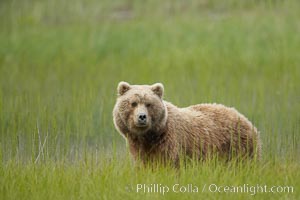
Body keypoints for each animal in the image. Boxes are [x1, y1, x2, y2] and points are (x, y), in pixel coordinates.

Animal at [112, 82, 260, 166]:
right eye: (133, 103)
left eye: (149, 104)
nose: (142, 117)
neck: (150, 136)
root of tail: (244, 118)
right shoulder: (140, 148)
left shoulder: (170, 143)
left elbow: (170, 165)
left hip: (239, 147)